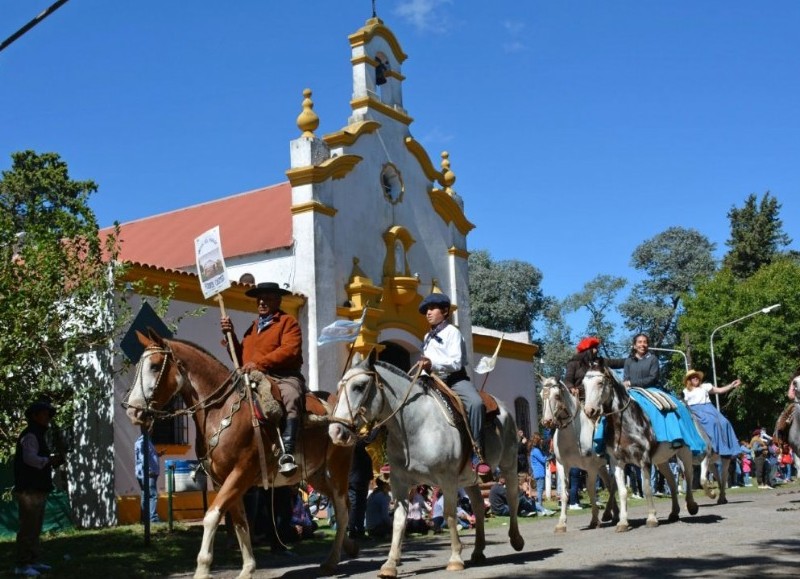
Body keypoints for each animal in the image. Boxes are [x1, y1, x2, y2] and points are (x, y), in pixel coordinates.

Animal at [123, 330, 354, 579]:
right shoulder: (223, 480)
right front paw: (248, 568)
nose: (133, 411)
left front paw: (202, 569)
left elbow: (212, 516)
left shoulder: (240, 473)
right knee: (337, 504)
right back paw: (348, 546)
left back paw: (332, 560)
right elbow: (240, 522)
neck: (221, 411)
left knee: (342, 509)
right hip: (315, 474)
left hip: (338, 467)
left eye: (155, 366)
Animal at [326, 352, 524, 576]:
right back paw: (478, 551)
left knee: (513, 497)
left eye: (359, 386)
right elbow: (399, 520)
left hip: (509, 464)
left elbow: (449, 514)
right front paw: (390, 564)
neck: (416, 426)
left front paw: (455, 558)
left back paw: (516, 540)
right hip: (470, 479)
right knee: (479, 506)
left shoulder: (447, 479)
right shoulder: (399, 482)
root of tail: (503, 407)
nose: (336, 431)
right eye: (338, 387)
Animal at [536, 376, 620, 536]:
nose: (547, 421)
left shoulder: (591, 468)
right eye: (540, 395)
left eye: (557, 396)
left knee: (613, 484)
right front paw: (561, 524)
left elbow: (591, 490)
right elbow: (564, 493)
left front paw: (594, 520)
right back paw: (615, 514)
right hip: (602, 466)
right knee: (609, 483)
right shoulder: (563, 466)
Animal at [580, 370, 704, 532]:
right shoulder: (616, 462)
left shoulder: (644, 459)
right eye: (583, 384)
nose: (589, 411)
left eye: (600, 383)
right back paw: (674, 512)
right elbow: (622, 491)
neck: (623, 423)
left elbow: (646, 488)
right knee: (671, 480)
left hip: (685, 452)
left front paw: (651, 518)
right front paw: (623, 522)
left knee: (688, 476)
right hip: (662, 459)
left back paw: (691, 506)